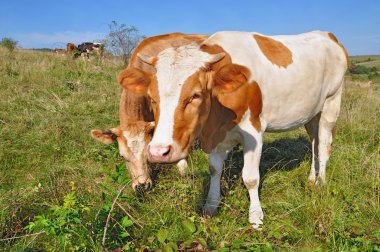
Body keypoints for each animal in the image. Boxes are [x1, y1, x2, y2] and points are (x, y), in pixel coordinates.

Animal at [120, 30, 348, 228]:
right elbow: (215, 170)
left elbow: (251, 178)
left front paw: (255, 215)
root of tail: (326, 34)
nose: (159, 152)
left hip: (331, 102)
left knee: (324, 145)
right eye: (151, 97)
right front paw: (211, 205)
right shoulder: (214, 133)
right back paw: (311, 178)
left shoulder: (254, 132)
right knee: (314, 142)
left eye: (195, 95)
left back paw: (321, 183)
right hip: (312, 113)